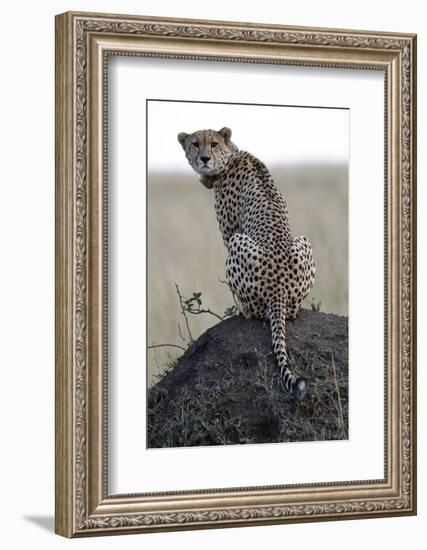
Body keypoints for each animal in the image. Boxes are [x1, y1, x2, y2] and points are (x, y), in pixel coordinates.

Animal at [179, 127, 316, 398]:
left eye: (213, 143)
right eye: (195, 143)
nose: (204, 159)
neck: (229, 156)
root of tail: (279, 290)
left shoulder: (230, 232)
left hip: (237, 242)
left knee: (254, 312)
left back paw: (242, 310)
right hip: (303, 241)